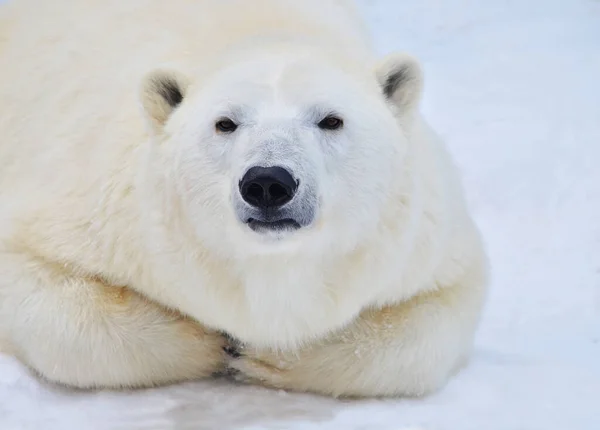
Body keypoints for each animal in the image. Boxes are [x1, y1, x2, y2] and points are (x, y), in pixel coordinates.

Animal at [0, 0, 488, 396]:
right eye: (226, 123)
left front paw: (269, 356)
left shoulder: (418, 236)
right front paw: (207, 341)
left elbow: (434, 317)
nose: (268, 183)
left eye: (331, 119)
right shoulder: (99, 207)